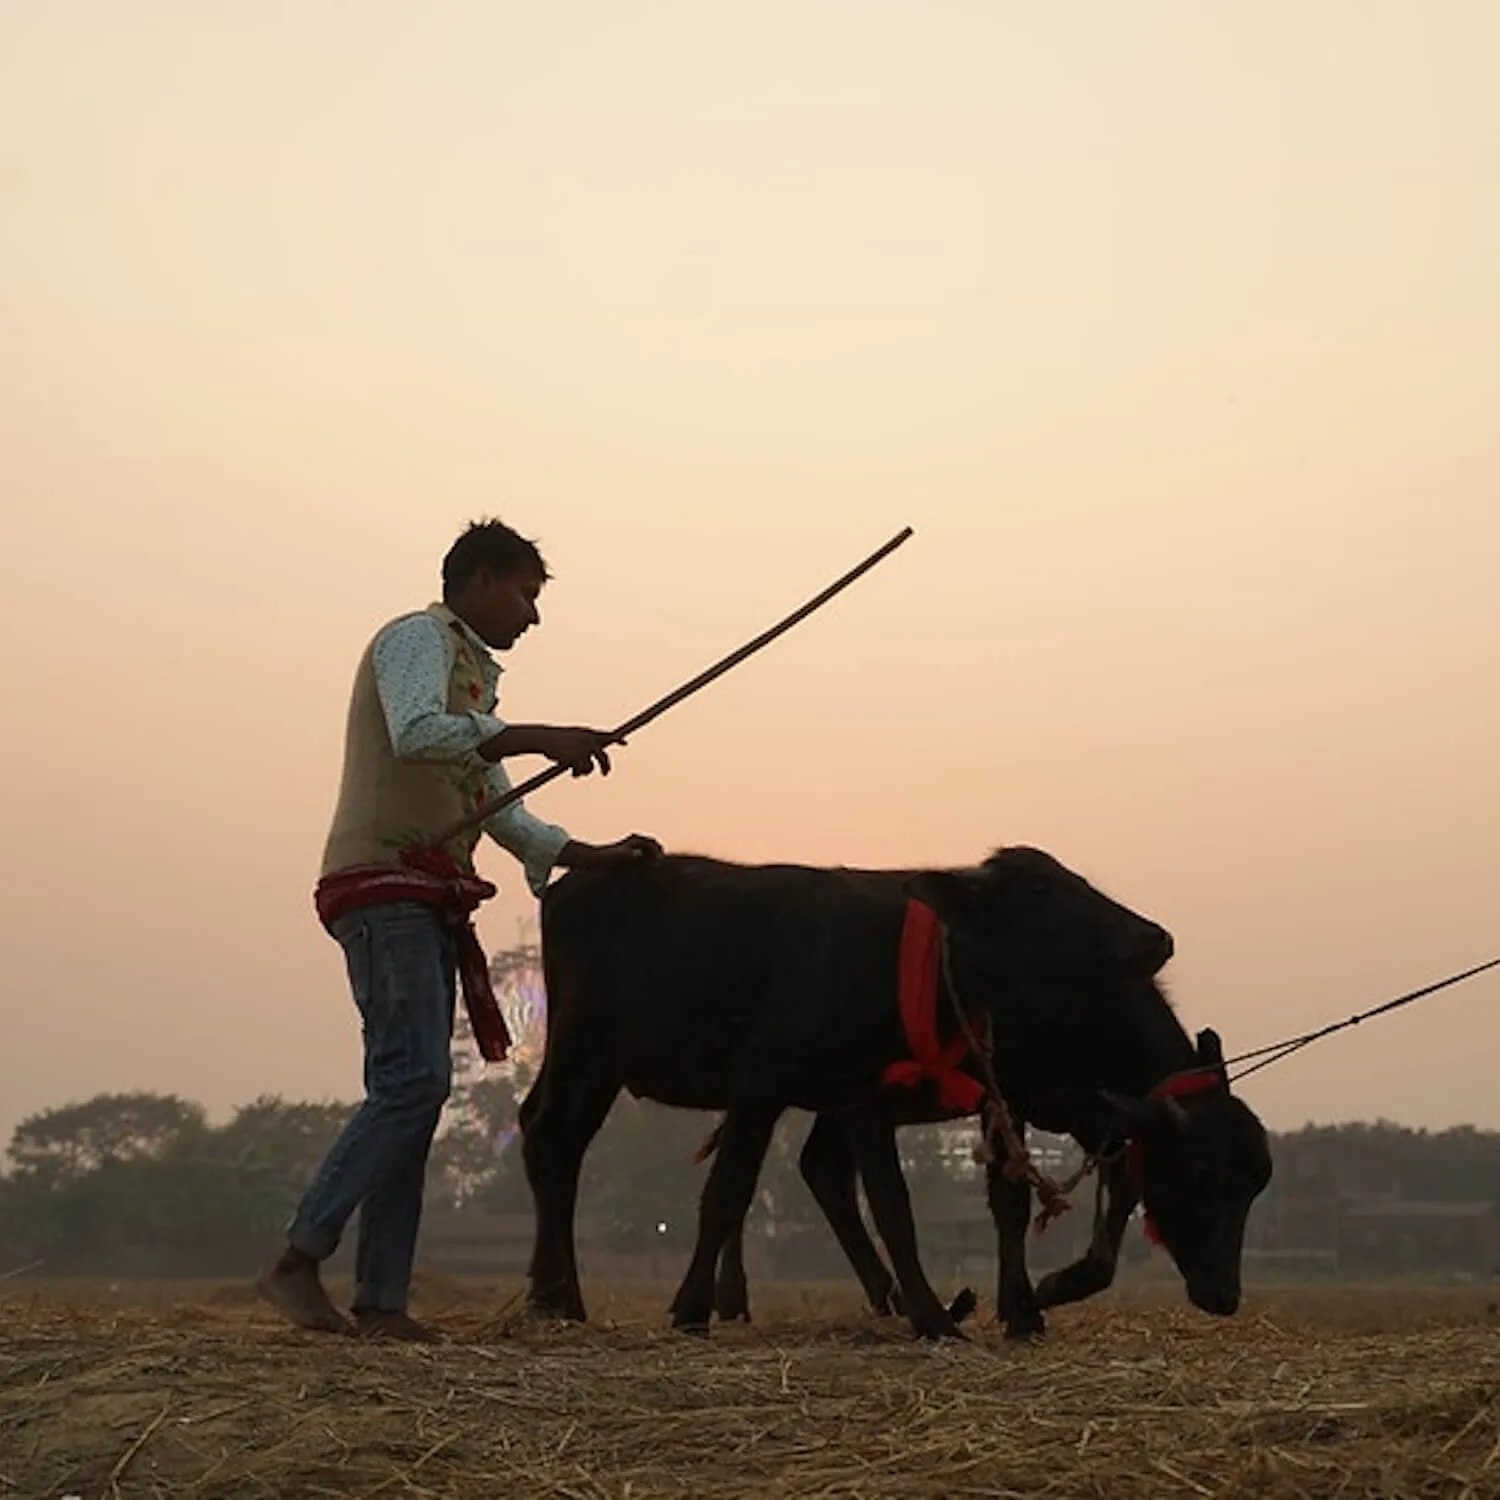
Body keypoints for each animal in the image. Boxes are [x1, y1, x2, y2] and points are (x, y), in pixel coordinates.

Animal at [522, 852, 1272, 1344]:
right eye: (1206, 1175)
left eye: (1253, 1185)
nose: (1225, 1294)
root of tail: (573, 884)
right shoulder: (777, 1091)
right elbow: (742, 1195)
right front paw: (688, 1311)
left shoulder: (986, 1101)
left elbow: (990, 1204)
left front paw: (1010, 1309)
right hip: (581, 1048)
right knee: (547, 1138)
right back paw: (554, 1299)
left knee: (563, 1145)